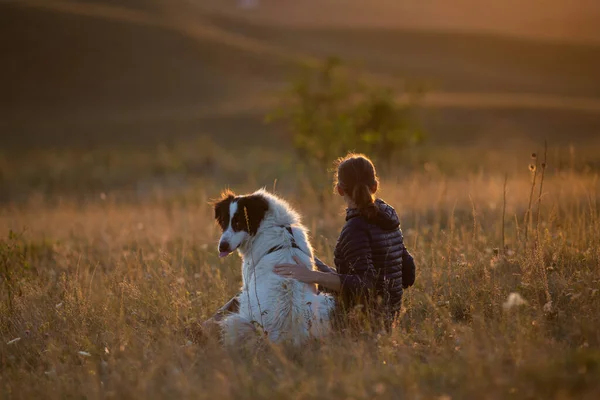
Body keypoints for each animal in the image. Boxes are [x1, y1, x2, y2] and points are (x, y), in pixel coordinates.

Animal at [212, 189, 336, 346]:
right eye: (223, 222)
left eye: (238, 223)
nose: (222, 247)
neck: (275, 224)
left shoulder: (246, 282)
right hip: (324, 301)